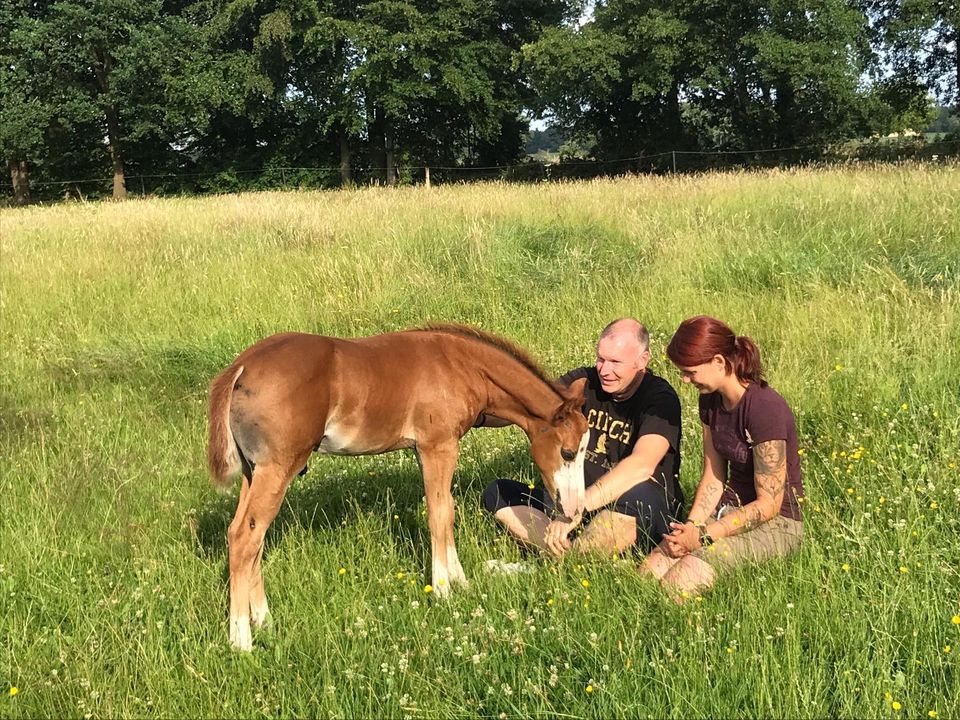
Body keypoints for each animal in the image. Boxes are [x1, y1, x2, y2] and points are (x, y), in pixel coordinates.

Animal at [206, 324, 588, 648]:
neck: (461, 365)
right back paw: (242, 641)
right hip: (277, 468)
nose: (573, 510)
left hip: (253, 472)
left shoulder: (425, 450)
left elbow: (445, 509)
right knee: (244, 537)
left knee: (249, 537)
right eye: (568, 452)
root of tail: (240, 367)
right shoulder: (438, 446)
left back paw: (264, 621)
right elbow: (439, 513)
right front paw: (444, 591)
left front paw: (460, 582)